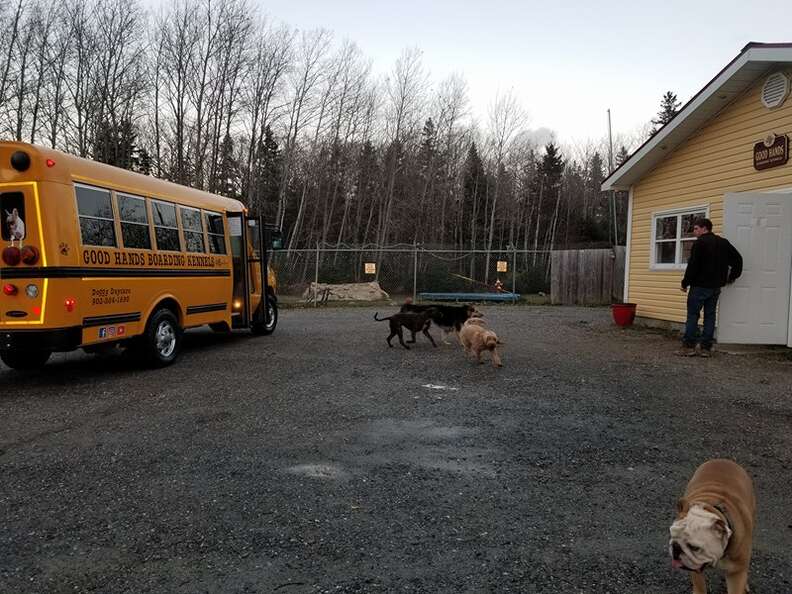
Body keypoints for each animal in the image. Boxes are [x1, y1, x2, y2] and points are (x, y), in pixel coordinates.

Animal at [672, 458, 756, 592]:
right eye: (672, 535)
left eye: (694, 547)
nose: (676, 547)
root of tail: (723, 459)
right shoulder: (695, 569)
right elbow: (699, 585)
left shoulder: (736, 573)